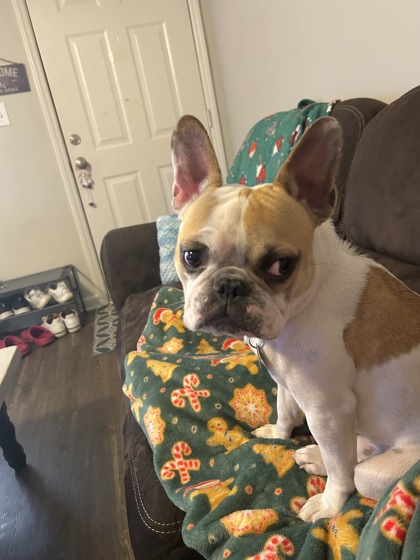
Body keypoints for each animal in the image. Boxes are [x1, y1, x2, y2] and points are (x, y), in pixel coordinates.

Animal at [170, 114, 420, 522]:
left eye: (281, 265)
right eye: (191, 256)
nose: (229, 285)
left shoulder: (327, 410)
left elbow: (341, 471)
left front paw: (331, 504)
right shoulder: (287, 383)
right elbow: (285, 410)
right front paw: (278, 433)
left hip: (385, 469)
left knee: (357, 469)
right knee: (355, 450)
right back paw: (317, 455)